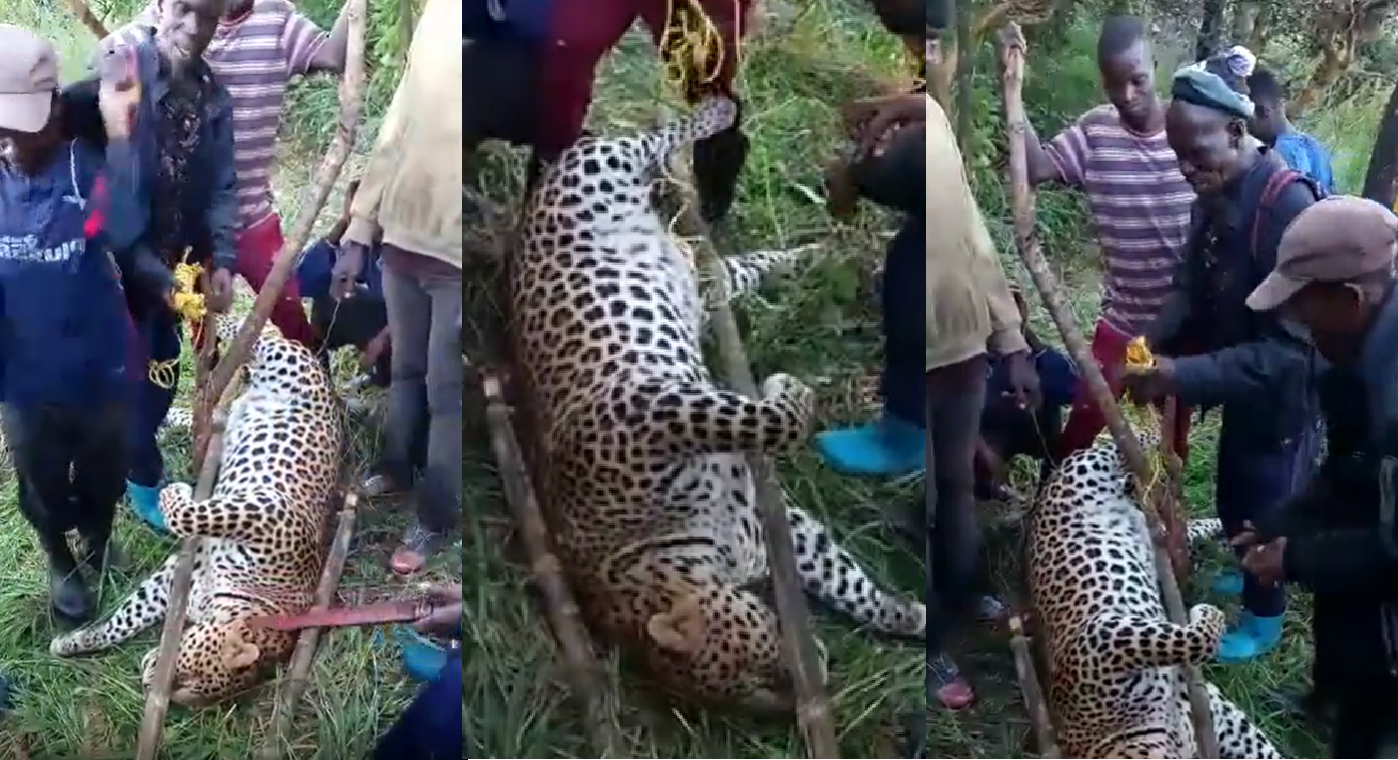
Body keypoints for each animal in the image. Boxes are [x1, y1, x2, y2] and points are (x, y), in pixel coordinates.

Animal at [49, 315, 343, 707]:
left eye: (185, 688)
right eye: (184, 669)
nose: (147, 678)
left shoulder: (174, 580)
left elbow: (124, 621)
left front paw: (74, 642)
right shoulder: (269, 512)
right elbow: (194, 513)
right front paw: (176, 494)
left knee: (186, 412)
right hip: (285, 362)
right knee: (261, 338)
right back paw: (214, 317)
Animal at [508, 96, 925, 713]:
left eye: (759, 651)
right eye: (755, 691)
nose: (817, 675)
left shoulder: (652, 409)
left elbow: (770, 418)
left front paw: (786, 388)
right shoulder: (772, 524)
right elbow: (840, 575)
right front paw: (902, 614)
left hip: (603, 166)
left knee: (650, 140)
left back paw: (713, 112)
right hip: (713, 280)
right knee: (757, 262)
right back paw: (818, 253)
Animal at [1028, 433, 1282, 758]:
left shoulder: (1098, 637)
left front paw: (1203, 613)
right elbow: (1195, 639)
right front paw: (1205, 614)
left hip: (1089, 467)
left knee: (1122, 444)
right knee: (1190, 527)